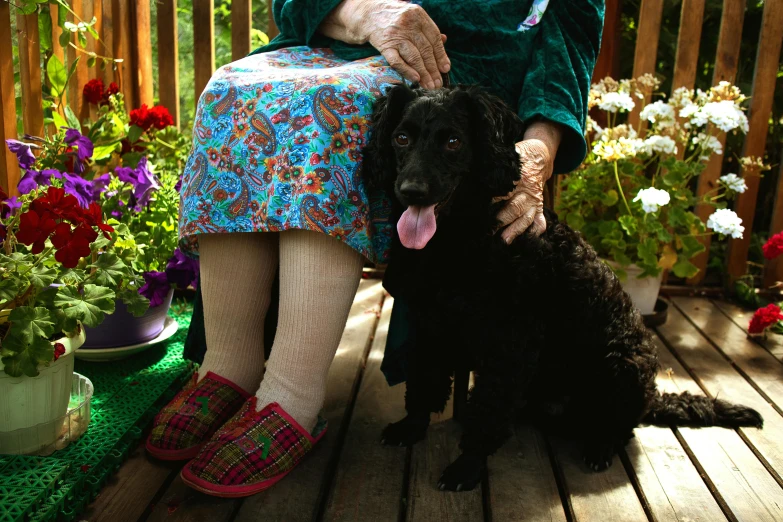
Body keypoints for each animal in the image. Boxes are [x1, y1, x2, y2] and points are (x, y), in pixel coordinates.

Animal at [366, 82, 764, 492]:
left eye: (452, 141)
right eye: (401, 138)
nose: (411, 191)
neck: (461, 238)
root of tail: (653, 397)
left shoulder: (511, 343)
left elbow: (488, 411)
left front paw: (466, 467)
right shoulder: (432, 325)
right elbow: (424, 382)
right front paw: (410, 429)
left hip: (624, 364)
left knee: (619, 428)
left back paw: (599, 448)